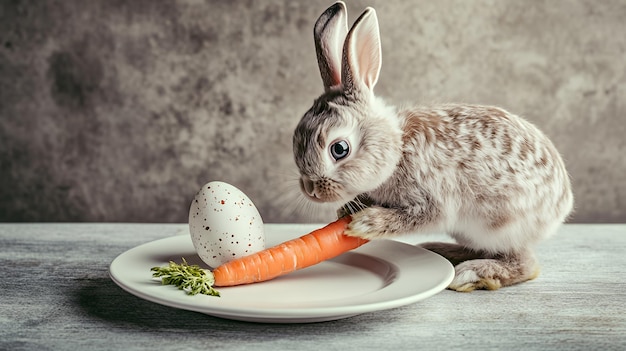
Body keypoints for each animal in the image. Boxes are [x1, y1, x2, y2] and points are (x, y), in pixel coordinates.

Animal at [290, 0, 572, 292]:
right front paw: (346, 211)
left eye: (339, 149)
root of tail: (562, 202)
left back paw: (471, 273)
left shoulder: (433, 196)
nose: (311, 189)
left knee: (525, 263)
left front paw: (365, 223)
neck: (398, 150)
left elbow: (418, 216)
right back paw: (441, 250)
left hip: (498, 226)